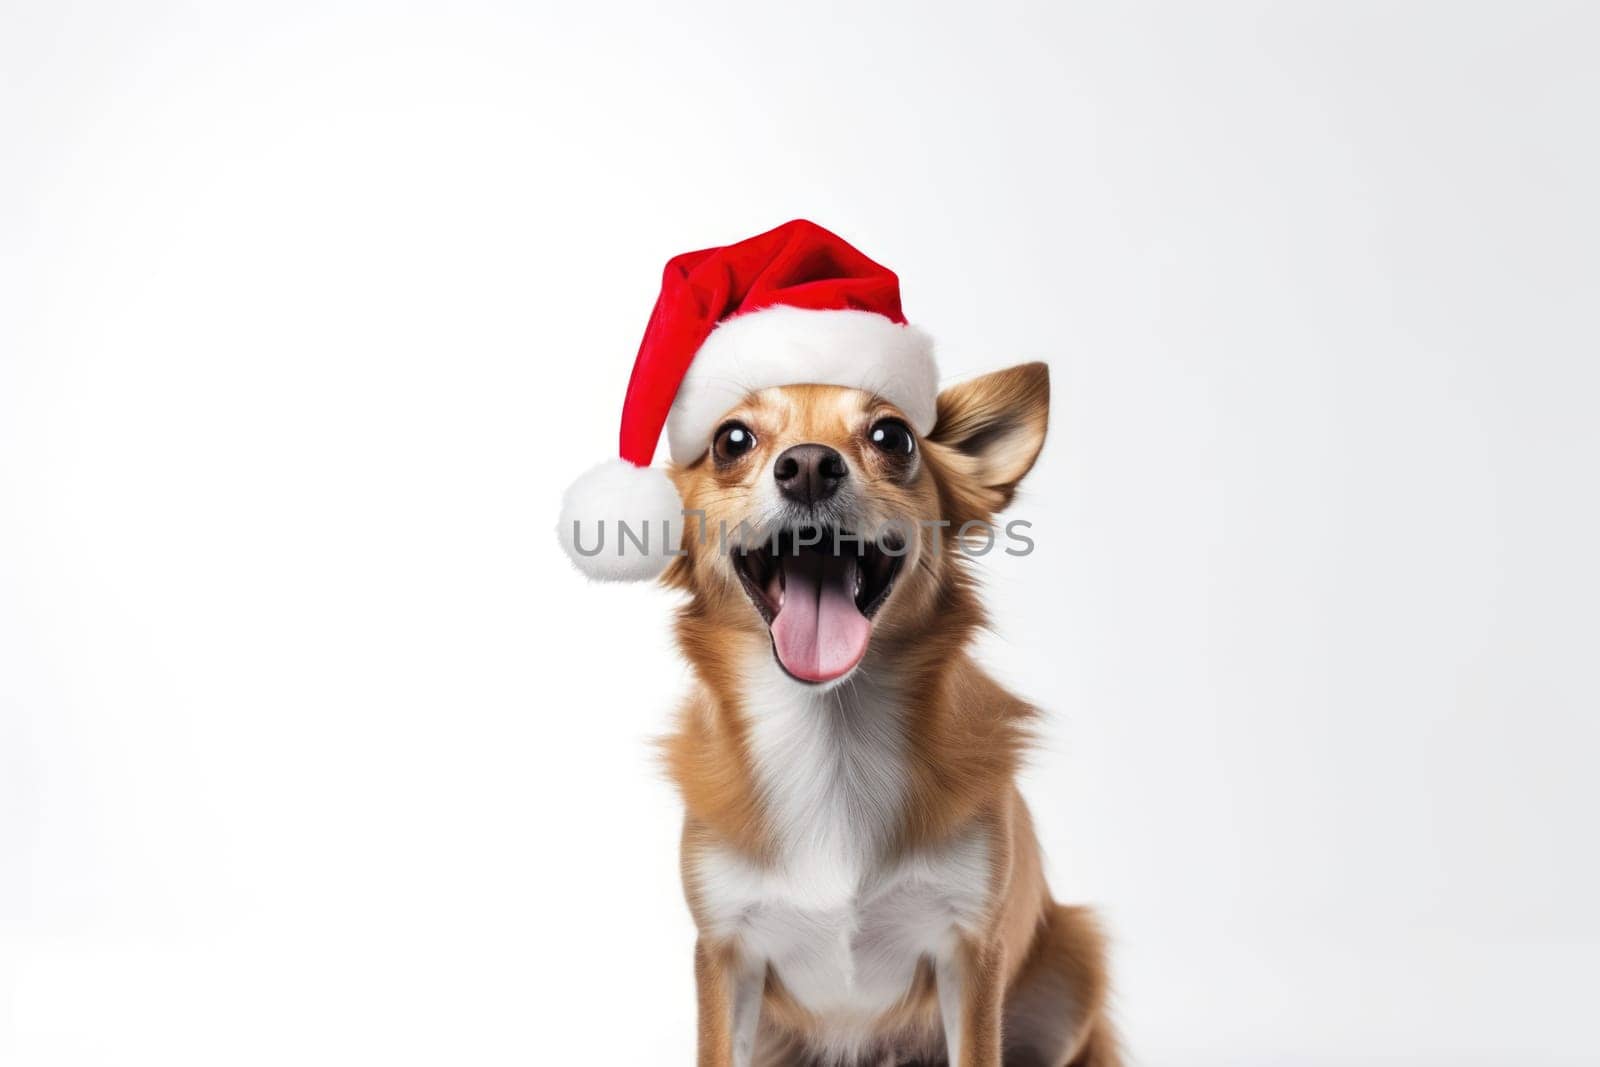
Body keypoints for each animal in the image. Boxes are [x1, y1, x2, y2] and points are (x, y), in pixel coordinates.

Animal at [656, 363, 1120, 1062]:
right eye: (731, 440)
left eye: (893, 437)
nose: (809, 466)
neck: (832, 742)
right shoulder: (726, 953)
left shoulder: (969, 952)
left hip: (1073, 968)